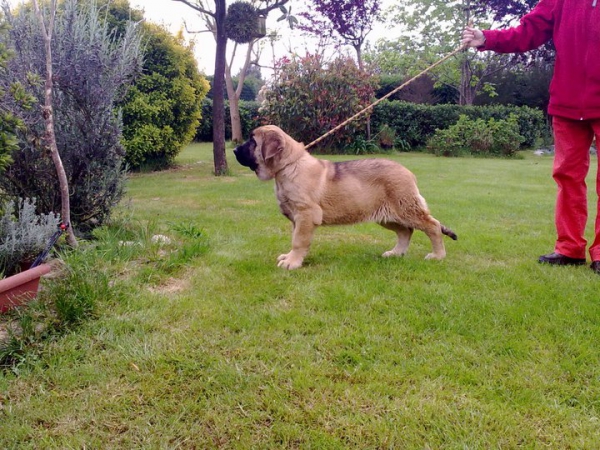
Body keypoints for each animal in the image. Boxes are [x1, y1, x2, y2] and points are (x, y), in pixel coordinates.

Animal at [232, 125, 458, 268]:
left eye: (252, 141)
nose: (233, 149)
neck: (288, 166)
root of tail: (408, 172)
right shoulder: (296, 218)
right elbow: (295, 238)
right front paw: (291, 257)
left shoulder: (305, 215)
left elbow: (298, 240)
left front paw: (292, 262)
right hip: (387, 215)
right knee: (406, 231)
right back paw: (396, 253)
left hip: (406, 208)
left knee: (432, 226)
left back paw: (437, 256)